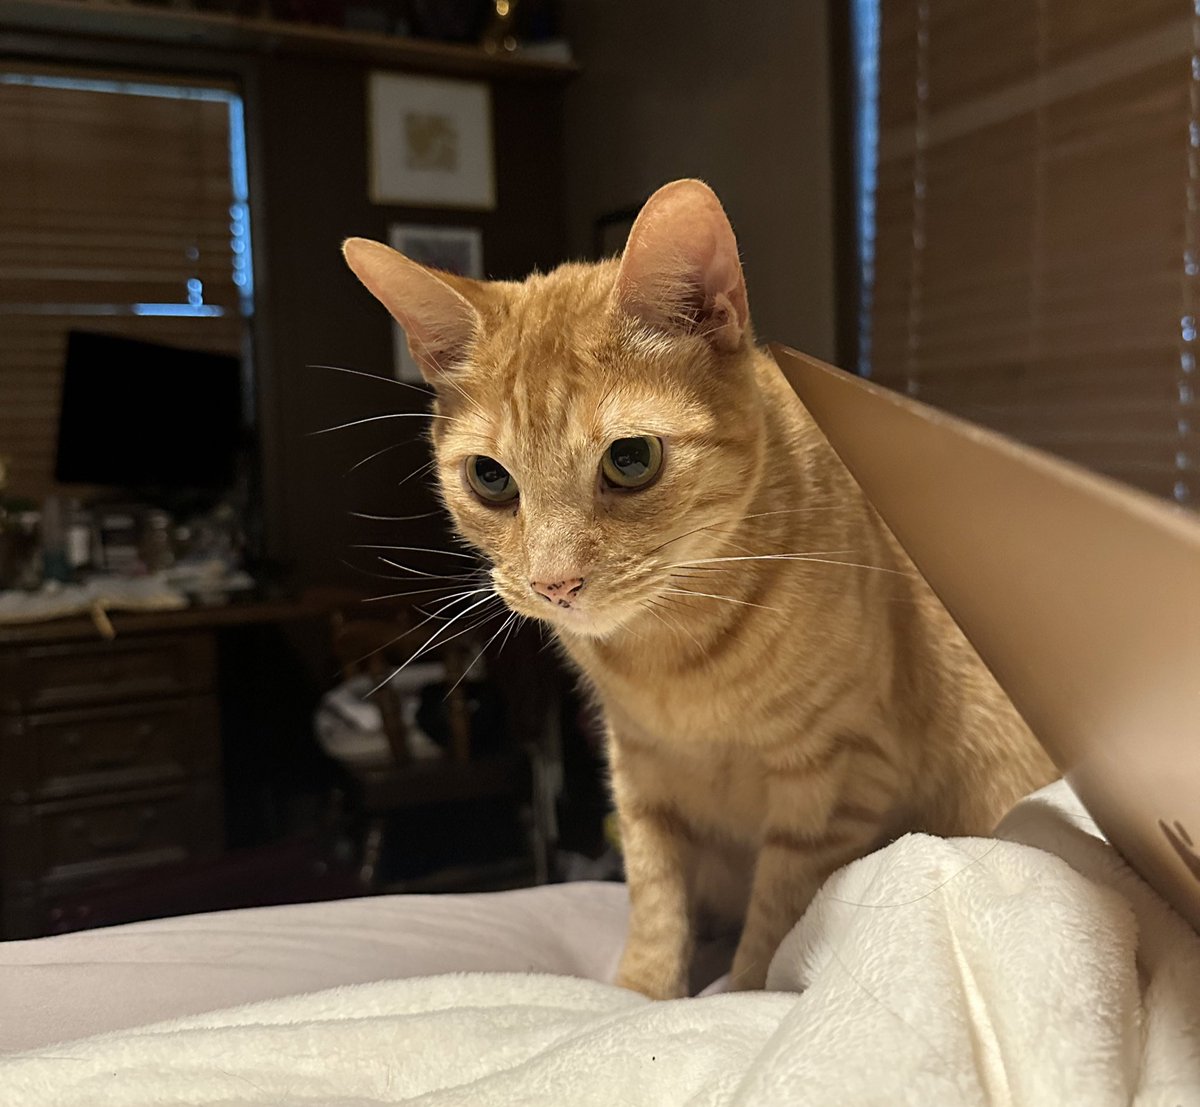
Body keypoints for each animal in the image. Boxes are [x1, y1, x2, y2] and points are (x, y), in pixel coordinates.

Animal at [343, 178, 1056, 994]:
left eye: (631, 459)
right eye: (490, 479)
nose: (555, 584)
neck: (669, 657)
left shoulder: (838, 774)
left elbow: (777, 916)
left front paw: (740, 990)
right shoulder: (640, 776)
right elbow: (655, 900)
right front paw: (642, 992)